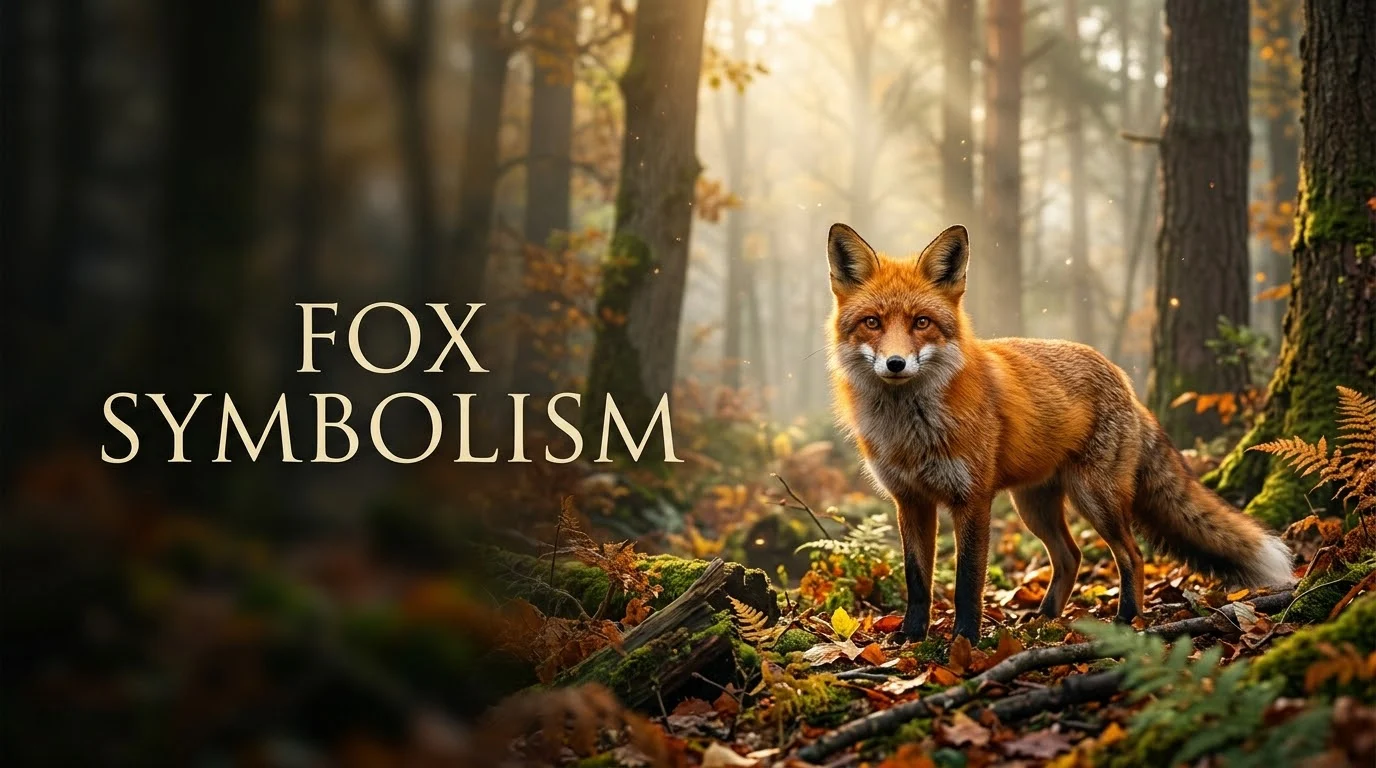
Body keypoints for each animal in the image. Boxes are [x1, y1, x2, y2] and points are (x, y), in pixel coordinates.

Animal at [825, 223, 1295, 641]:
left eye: (921, 322)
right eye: (872, 322)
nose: (896, 364)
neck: (911, 432)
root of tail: (1123, 379)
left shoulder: (972, 499)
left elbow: (967, 582)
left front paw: (965, 641)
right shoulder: (910, 501)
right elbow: (917, 581)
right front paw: (911, 636)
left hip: (1095, 498)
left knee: (1131, 554)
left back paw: (1126, 620)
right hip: (1033, 505)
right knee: (1071, 556)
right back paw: (1044, 619)